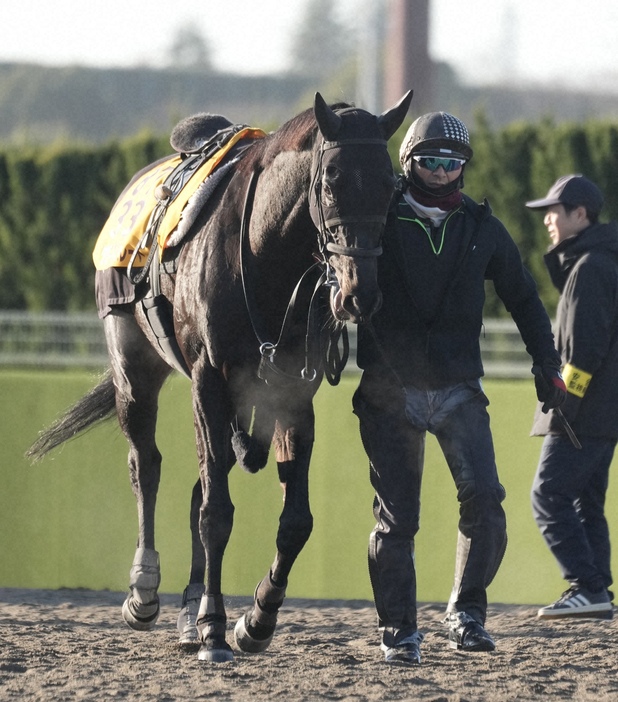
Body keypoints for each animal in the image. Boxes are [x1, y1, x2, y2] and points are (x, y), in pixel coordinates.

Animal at [26, 91, 412, 664]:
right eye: (331, 181)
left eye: (389, 185)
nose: (358, 294)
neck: (263, 251)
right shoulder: (207, 377)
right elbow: (216, 511)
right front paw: (212, 625)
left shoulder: (290, 390)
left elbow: (294, 520)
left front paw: (257, 618)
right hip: (135, 367)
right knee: (147, 465)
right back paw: (145, 591)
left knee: (205, 476)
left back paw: (188, 608)